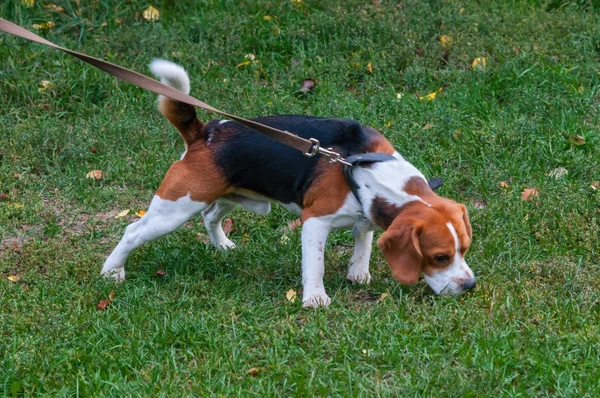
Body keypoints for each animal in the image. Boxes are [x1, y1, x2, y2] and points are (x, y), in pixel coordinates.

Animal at [99, 59, 474, 308]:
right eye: (440, 257)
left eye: (464, 250)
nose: (469, 285)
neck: (369, 171)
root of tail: (205, 132)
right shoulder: (315, 222)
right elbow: (315, 265)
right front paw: (315, 298)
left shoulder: (366, 214)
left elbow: (363, 242)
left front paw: (358, 274)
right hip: (176, 207)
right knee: (133, 231)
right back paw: (112, 271)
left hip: (230, 196)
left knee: (210, 217)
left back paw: (223, 246)